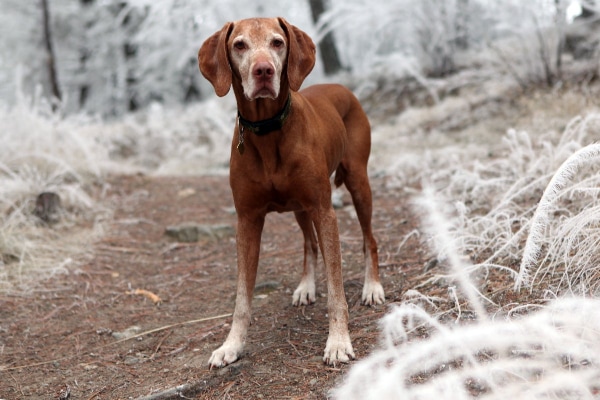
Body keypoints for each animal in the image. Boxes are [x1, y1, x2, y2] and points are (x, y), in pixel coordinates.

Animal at [198, 18, 384, 368]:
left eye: (278, 42)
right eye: (239, 45)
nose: (263, 70)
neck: (268, 130)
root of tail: (342, 87)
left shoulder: (324, 211)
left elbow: (336, 289)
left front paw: (338, 342)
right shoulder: (247, 220)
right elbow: (242, 297)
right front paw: (231, 345)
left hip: (358, 182)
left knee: (370, 239)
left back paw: (372, 287)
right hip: (300, 208)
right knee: (309, 244)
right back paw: (306, 286)